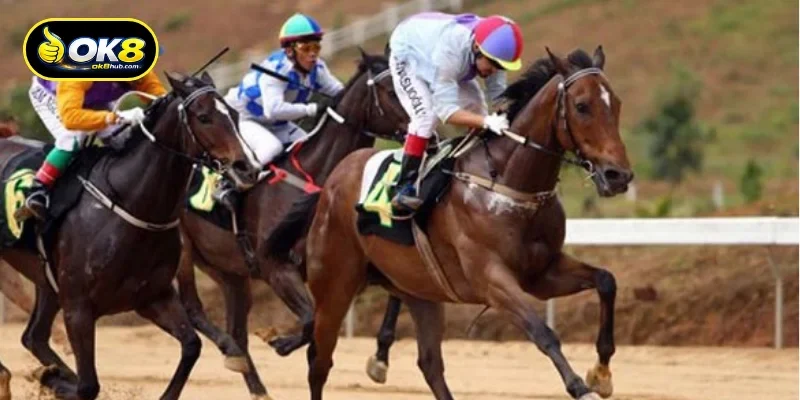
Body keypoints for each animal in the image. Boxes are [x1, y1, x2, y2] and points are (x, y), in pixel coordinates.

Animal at [0, 70, 259, 400]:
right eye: (204, 118)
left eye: (234, 115)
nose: (248, 168)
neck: (129, 202)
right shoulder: (78, 308)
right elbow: (88, 386)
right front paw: (54, 380)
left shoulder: (152, 296)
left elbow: (191, 346)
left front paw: (50, 377)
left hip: (47, 282)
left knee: (33, 336)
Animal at [174, 50, 408, 398]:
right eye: (392, 91)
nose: (430, 131)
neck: (318, 176)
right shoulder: (276, 267)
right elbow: (312, 320)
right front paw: (280, 341)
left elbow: (397, 296)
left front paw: (379, 360)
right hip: (185, 253)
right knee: (193, 309)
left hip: (230, 273)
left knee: (237, 329)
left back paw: (255, 383)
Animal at [266, 46, 634, 400]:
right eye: (582, 106)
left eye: (615, 104)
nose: (618, 175)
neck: (508, 183)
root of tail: (333, 179)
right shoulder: (491, 280)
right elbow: (542, 331)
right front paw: (581, 387)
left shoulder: (540, 273)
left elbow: (606, 280)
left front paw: (601, 373)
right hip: (334, 285)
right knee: (319, 361)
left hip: (419, 290)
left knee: (429, 363)